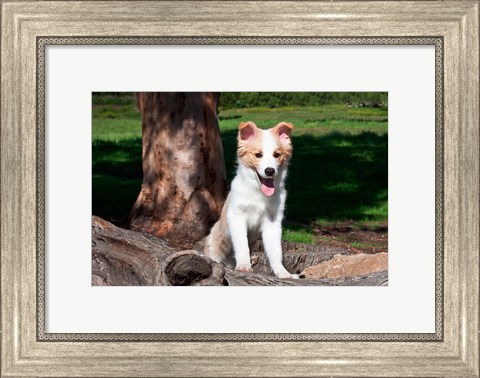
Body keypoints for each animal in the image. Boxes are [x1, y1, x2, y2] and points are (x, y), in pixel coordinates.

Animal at [204, 119, 298, 280]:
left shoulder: (273, 222)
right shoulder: (237, 216)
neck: (258, 192)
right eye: (258, 155)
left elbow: (275, 251)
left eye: (276, 154)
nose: (270, 171)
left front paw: (283, 273)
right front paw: (244, 266)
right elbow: (242, 245)